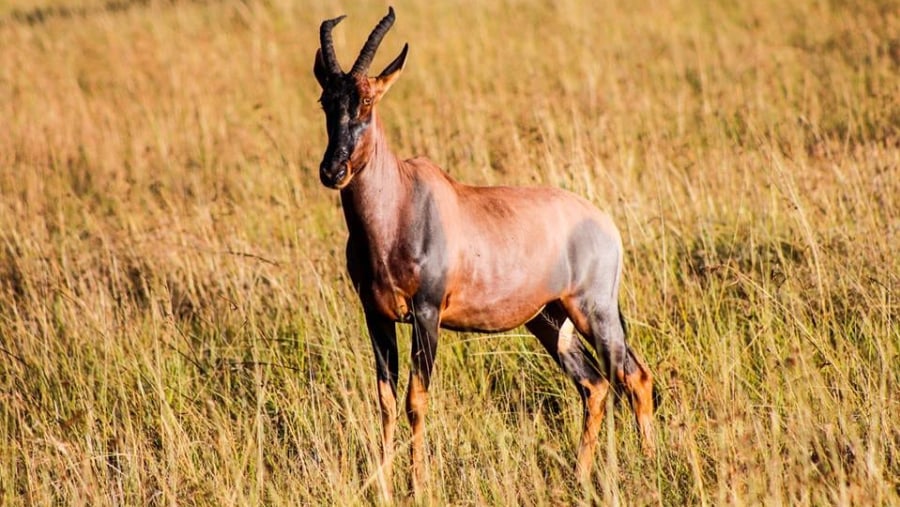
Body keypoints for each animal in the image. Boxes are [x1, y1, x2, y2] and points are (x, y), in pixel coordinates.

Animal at [314, 6, 652, 500]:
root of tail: (605, 224)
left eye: (368, 102)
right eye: (326, 101)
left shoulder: (427, 314)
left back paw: (650, 465)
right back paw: (579, 476)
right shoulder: (375, 315)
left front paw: (418, 486)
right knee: (594, 385)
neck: (402, 200)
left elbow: (416, 399)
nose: (332, 170)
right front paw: (383, 487)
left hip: (595, 311)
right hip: (549, 321)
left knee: (635, 377)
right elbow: (386, 399)